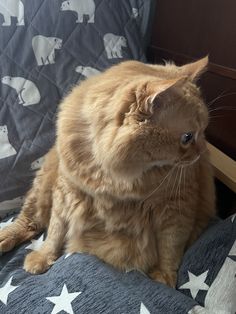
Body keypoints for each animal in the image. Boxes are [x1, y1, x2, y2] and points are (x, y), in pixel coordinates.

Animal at [0, 57, 215, 288]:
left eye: (204, 131)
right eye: (187, 137)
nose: (201, 152)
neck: (117, 178)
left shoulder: (178, 205)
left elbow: (170, 247)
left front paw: (164, 278)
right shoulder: (66, 192)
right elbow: (55, 233)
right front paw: (43, 257)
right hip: (42, 185)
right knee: (29, 221)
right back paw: (5, 238)